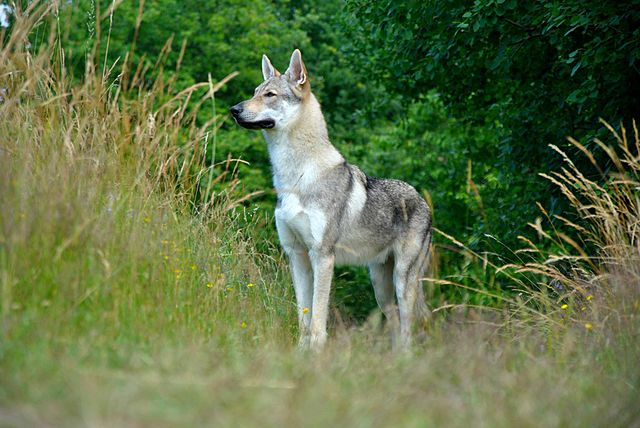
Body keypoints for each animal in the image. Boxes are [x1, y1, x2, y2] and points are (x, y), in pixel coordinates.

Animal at [230, 50, 430, 352]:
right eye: (255, 92)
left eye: (270, 95)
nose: (234, 109)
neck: (296, 178)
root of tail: (423, 199)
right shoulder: (296, 255)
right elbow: (303, 316)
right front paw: (300, 353)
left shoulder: (322, 257)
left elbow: (317, 319)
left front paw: (316, 354)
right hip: (380, 285)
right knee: (395, 322)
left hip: (403, 280)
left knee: (409, 327)